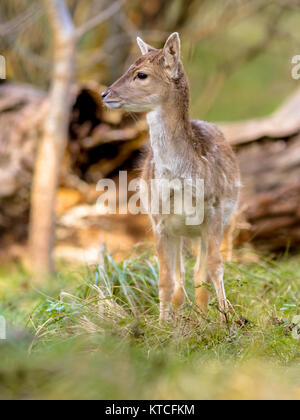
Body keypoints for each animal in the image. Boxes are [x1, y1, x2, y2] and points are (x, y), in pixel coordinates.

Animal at [102, 32, 240, 324]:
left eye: (141, 74)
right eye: (129, 66)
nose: (104, 93)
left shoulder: (214, 212)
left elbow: (215, 267)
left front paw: (227, 320)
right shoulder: (159, 221)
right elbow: (165, 280)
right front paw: (161, 326)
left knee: (199, 273)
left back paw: (204, 316)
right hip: (179, 231)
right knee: (182, 276)